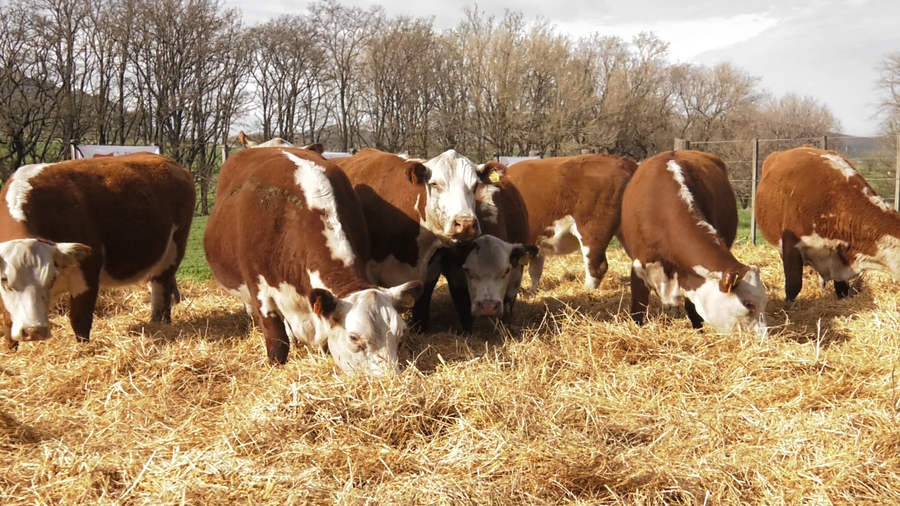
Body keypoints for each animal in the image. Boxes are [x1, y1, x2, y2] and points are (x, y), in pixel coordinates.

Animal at [0, 153, 195, 349]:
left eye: (52, 278)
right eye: (4, 280)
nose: (34, 331)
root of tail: (165, 159)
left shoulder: (87, 274)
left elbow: (80, 320)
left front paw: (84, 350)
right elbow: (7, 323)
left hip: (174, 249)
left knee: (161, 290)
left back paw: (161, 325)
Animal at [503, 153, 636, 292]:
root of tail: (620, 161)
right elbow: (535, 271)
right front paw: (533, 292)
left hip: (593, 231)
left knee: (596, 267)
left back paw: (586, 291)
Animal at [621, 150, 767, 335]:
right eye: (749, 304)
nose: (763, 337)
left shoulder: (690, 277)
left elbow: (693, 310)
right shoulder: (639, 268)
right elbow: (638, 309)